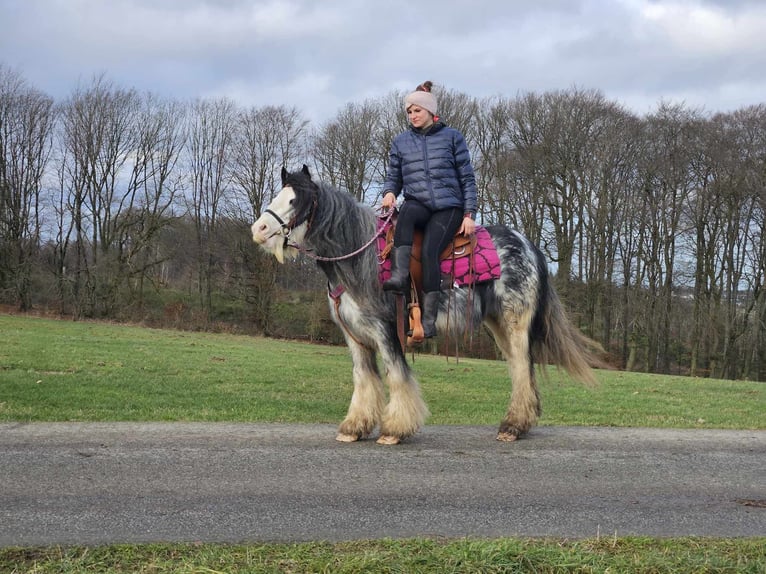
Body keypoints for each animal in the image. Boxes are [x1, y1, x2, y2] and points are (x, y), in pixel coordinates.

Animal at [255, 165, 604, 446]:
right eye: (279, 195)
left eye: (296, 201)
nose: (259, 229)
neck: (358, 260)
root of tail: (528, 245)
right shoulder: (355, 337)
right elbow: (364, 381)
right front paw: (354, 428)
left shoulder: (386, 332)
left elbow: (397, 376)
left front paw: (395, 429)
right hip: (499, 325)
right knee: (521, 370)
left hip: (516, 323)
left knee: (522, 368)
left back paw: (513, 427)